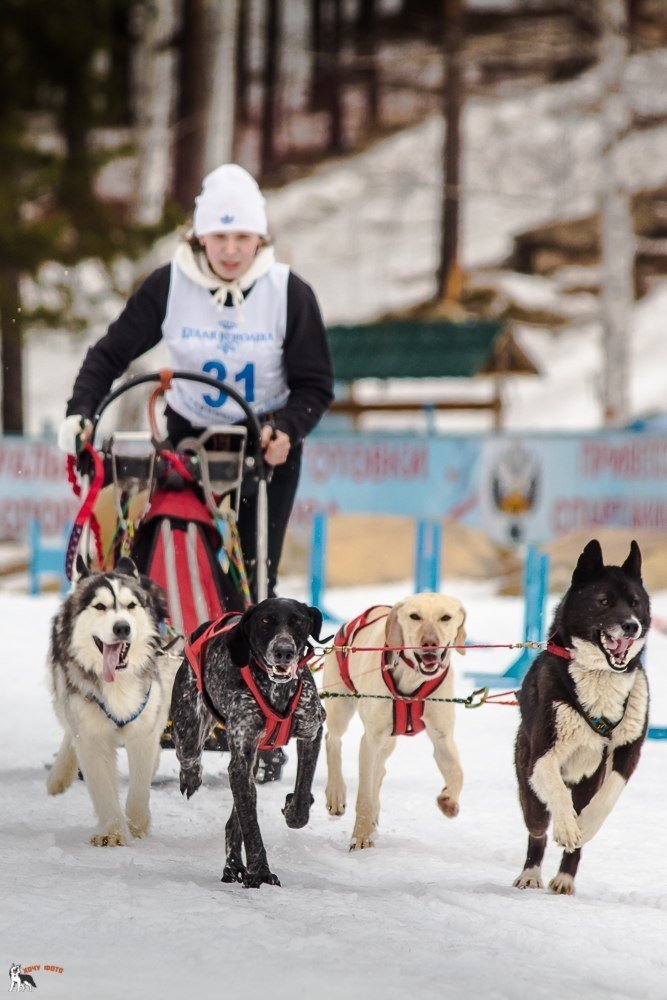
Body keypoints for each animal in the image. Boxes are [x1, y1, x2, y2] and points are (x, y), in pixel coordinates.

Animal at [47, 560, 177, 848]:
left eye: (131, 605)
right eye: (99, 606)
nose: (122, 628)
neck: (117, 682)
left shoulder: (143, 727)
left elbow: (140, 785)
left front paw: (137, 825)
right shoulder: (91, 735)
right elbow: (103, 787)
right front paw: (113, 831)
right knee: (68, 730)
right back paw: (59, 775)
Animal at [320, 592, 468, 852]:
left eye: (446, 617)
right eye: (415, 616)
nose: (430, 643)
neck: (412, 677)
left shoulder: (442, 737)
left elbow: (457, 772)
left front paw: (449, 800)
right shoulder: (370, 740)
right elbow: (364, 796)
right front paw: (360, 837)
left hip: (388, 741)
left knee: (379, 771)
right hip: (341, 706)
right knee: (333, 740)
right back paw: (336, 793)